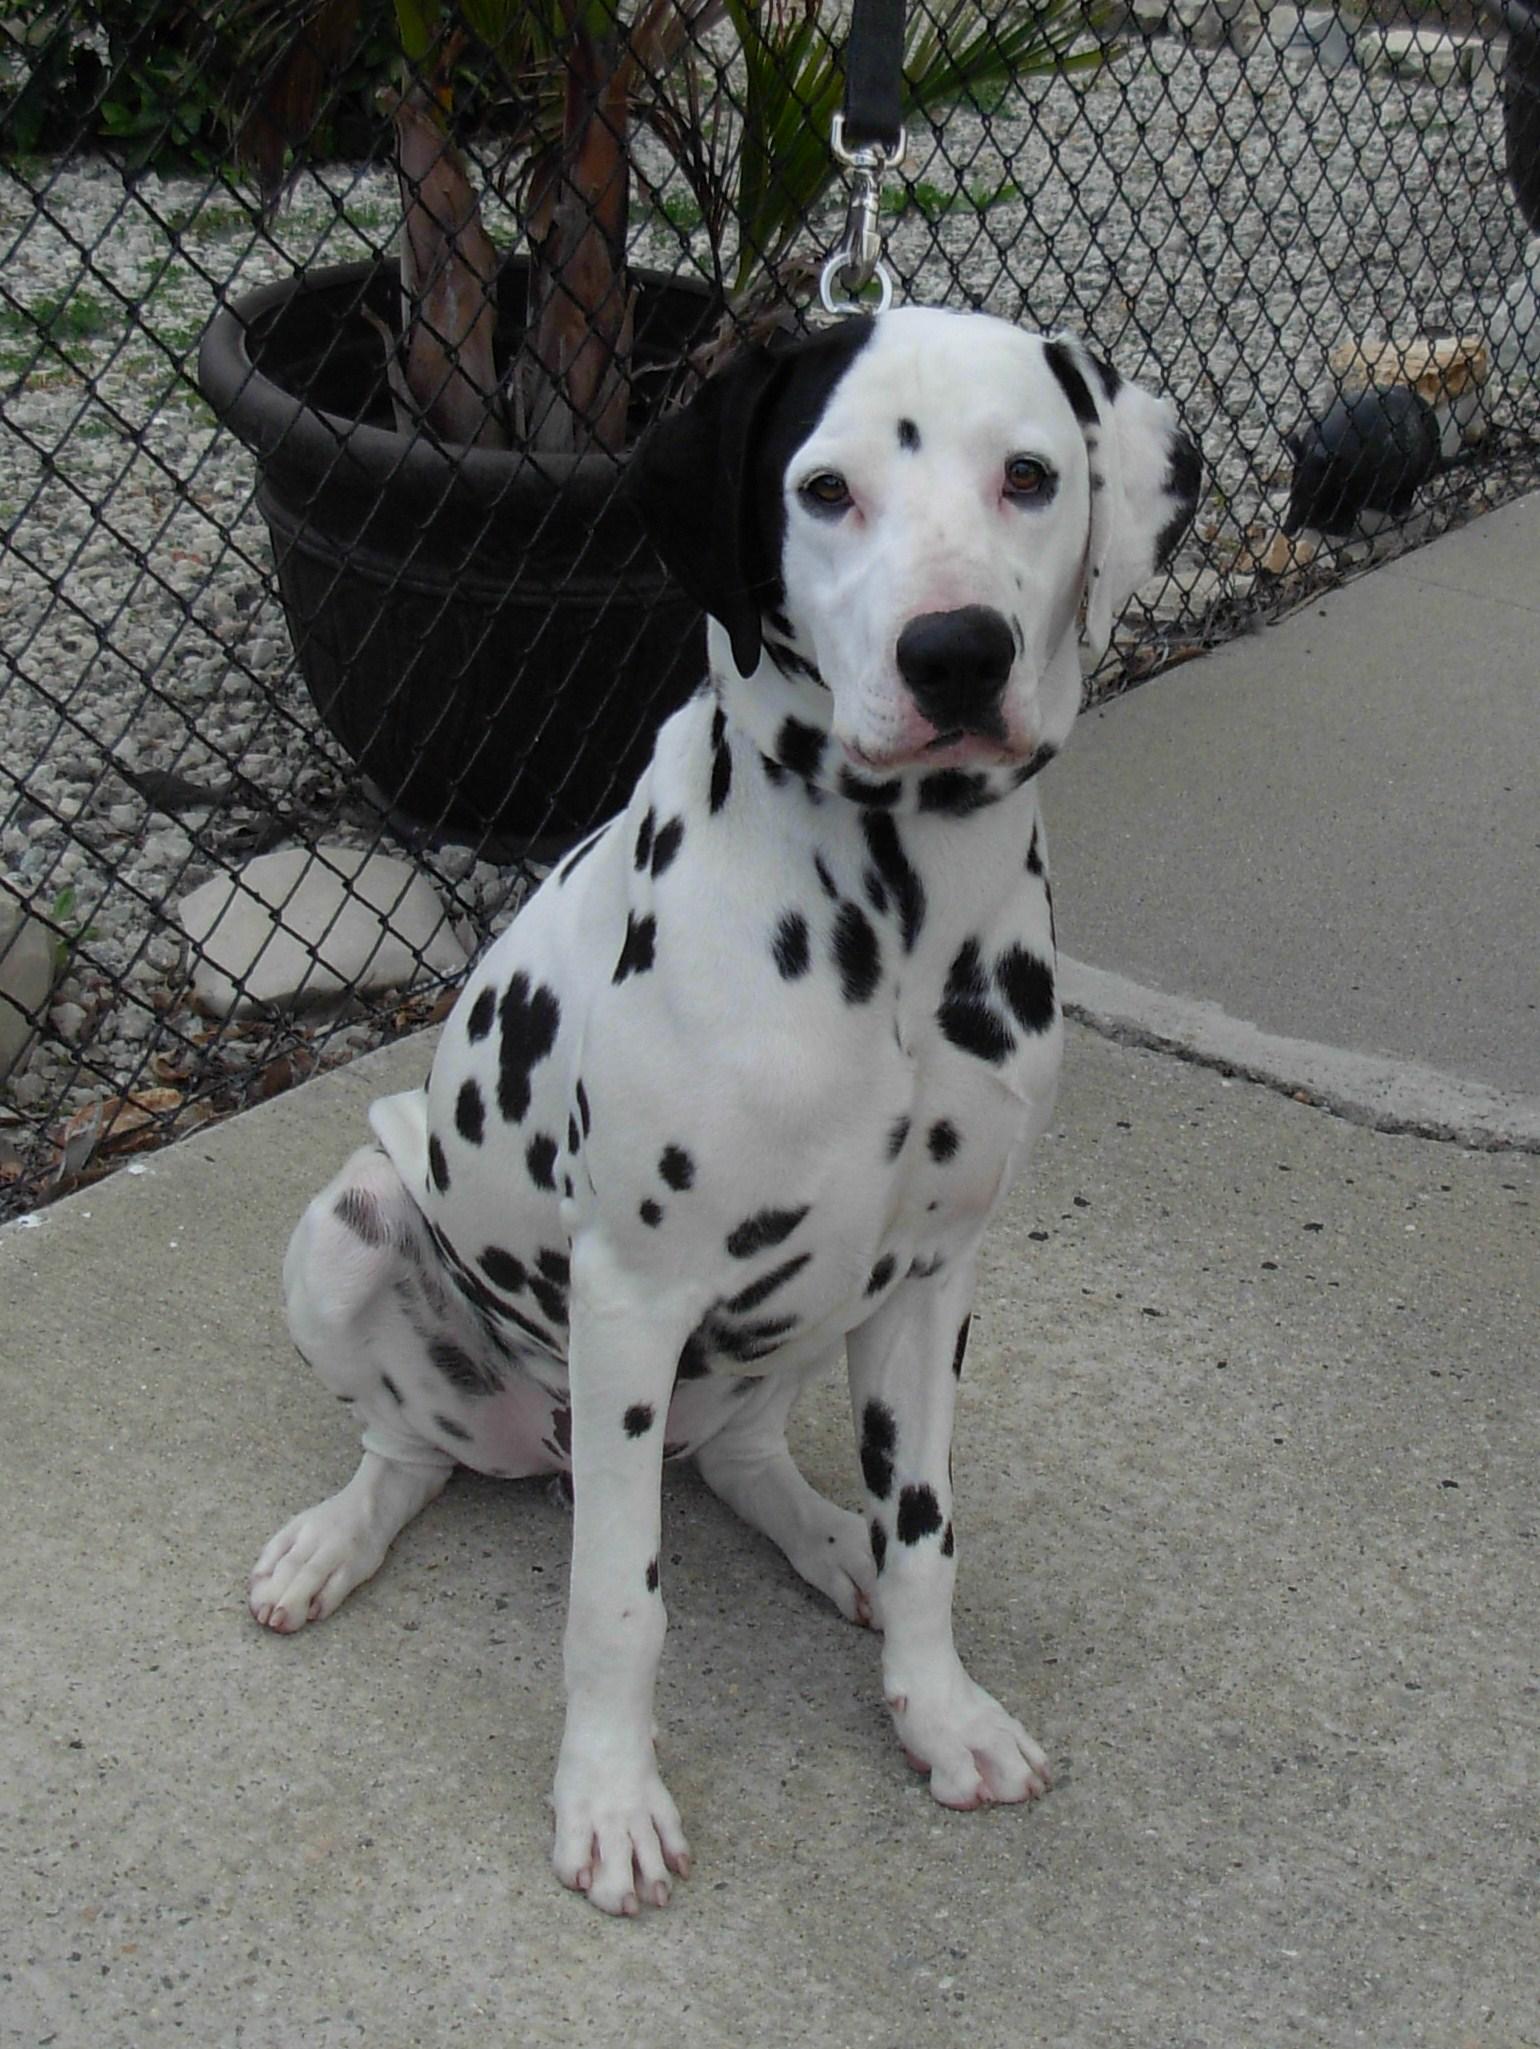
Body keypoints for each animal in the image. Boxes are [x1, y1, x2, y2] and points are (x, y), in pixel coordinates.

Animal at [249, 307, 1204, 1917]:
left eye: (1028, 474)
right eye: (823, 490)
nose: (956, 652)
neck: (894, 908)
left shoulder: (933, 1278)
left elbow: (927, 1530)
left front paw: (936, 1708)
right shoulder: (634, 1294)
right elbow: (617, 1602)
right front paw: (608, 1796)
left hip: (800, 1326)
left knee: (753, 1459)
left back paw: (830, 1539)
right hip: (359, 1227)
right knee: (408, 1449)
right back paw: (332, 1540)